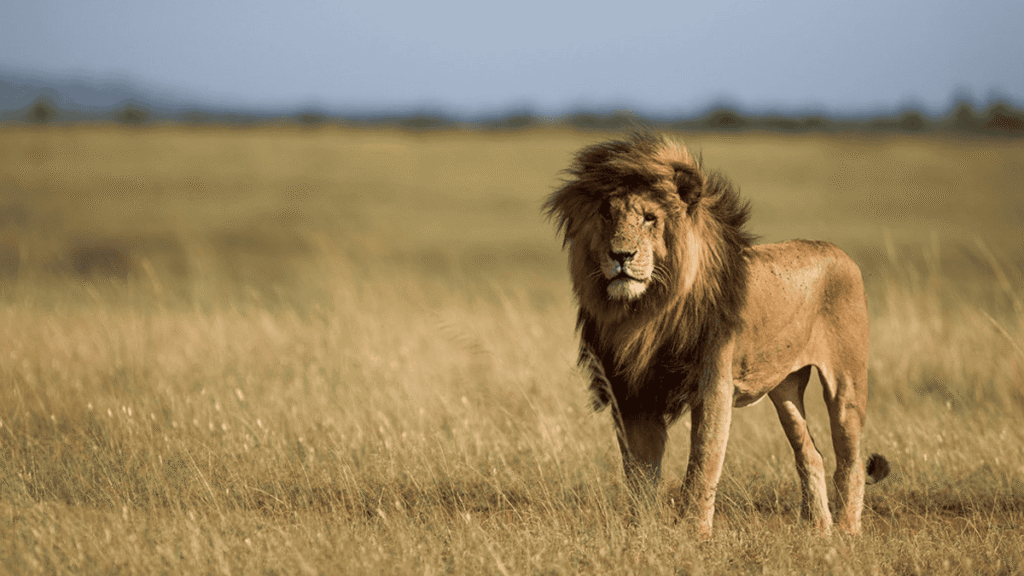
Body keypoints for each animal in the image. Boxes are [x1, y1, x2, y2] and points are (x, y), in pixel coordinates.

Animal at [545, 132, 888, 538]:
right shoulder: (631, 391)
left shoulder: (714, 385)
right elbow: (639, 472)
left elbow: (703, 461)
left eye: (650, 218)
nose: (621, 255)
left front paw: (693, 532)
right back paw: (818, 531)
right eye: (606, 215)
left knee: (850, 461)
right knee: (811, 454)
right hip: (785, 389)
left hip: (846, 383)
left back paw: (847, 533)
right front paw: (640, 531)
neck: (646, 314)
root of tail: (838, 252)